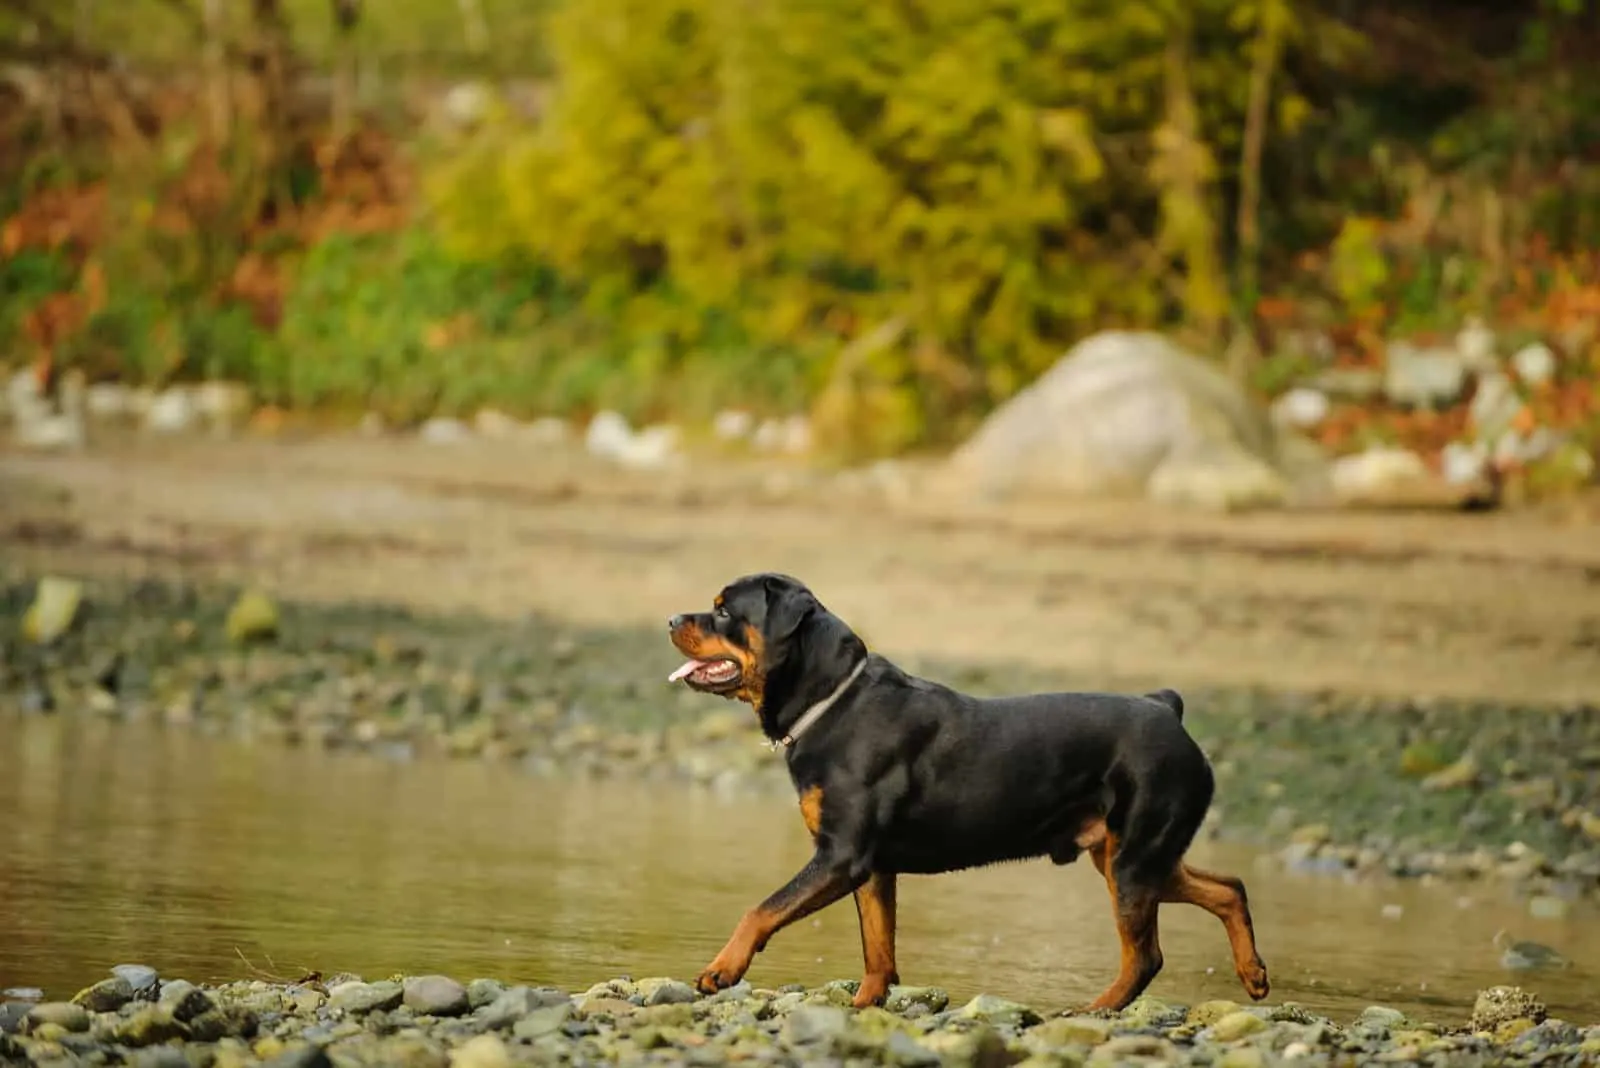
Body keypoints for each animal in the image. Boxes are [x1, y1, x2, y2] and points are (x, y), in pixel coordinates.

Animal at [662, 572, 1260, 1004]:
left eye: (723, 610)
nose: (669, 618)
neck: (830, 701)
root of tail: (1167, 708)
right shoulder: (871, 869)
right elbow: (878, 952)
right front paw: (863, 1007)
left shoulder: (840, 857)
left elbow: (760, 910)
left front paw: (722, 969)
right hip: (1127, 856)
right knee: (1228, 887)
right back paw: (1252, 973)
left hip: (1134, 859)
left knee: (1145, 956)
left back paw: (1096, 1011)